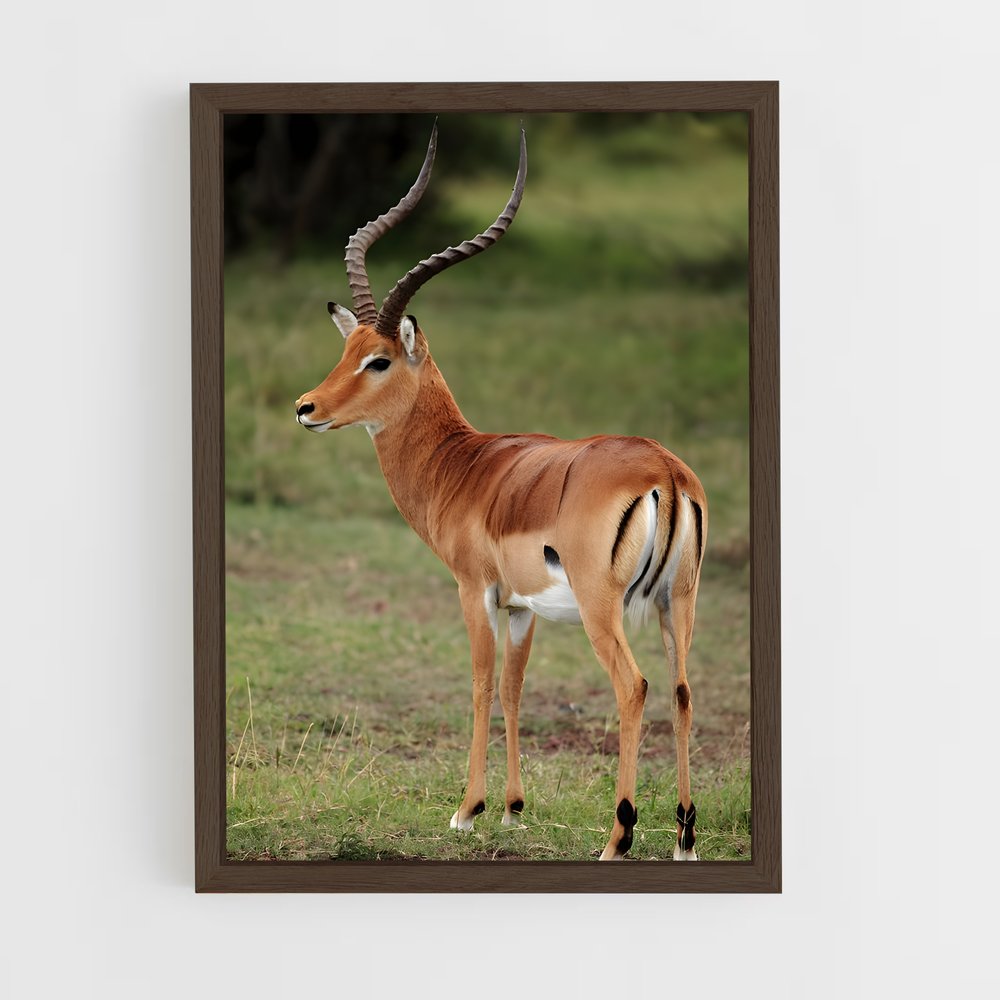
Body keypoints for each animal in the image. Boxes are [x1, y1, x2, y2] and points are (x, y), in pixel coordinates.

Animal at [294, 125, 706, 861]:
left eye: (379, 360)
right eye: (347, 352)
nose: (305, 408)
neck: (464, 466)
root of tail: (665, 472)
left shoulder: (474, 590)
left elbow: (482, 685)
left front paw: (467, 809)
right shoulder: (521, 608)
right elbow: (515, 690)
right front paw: (513, 809)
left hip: (605, 609)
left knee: (634, 688)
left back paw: (617, 837)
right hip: (675, 602)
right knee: (683, 690)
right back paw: (685, 837)